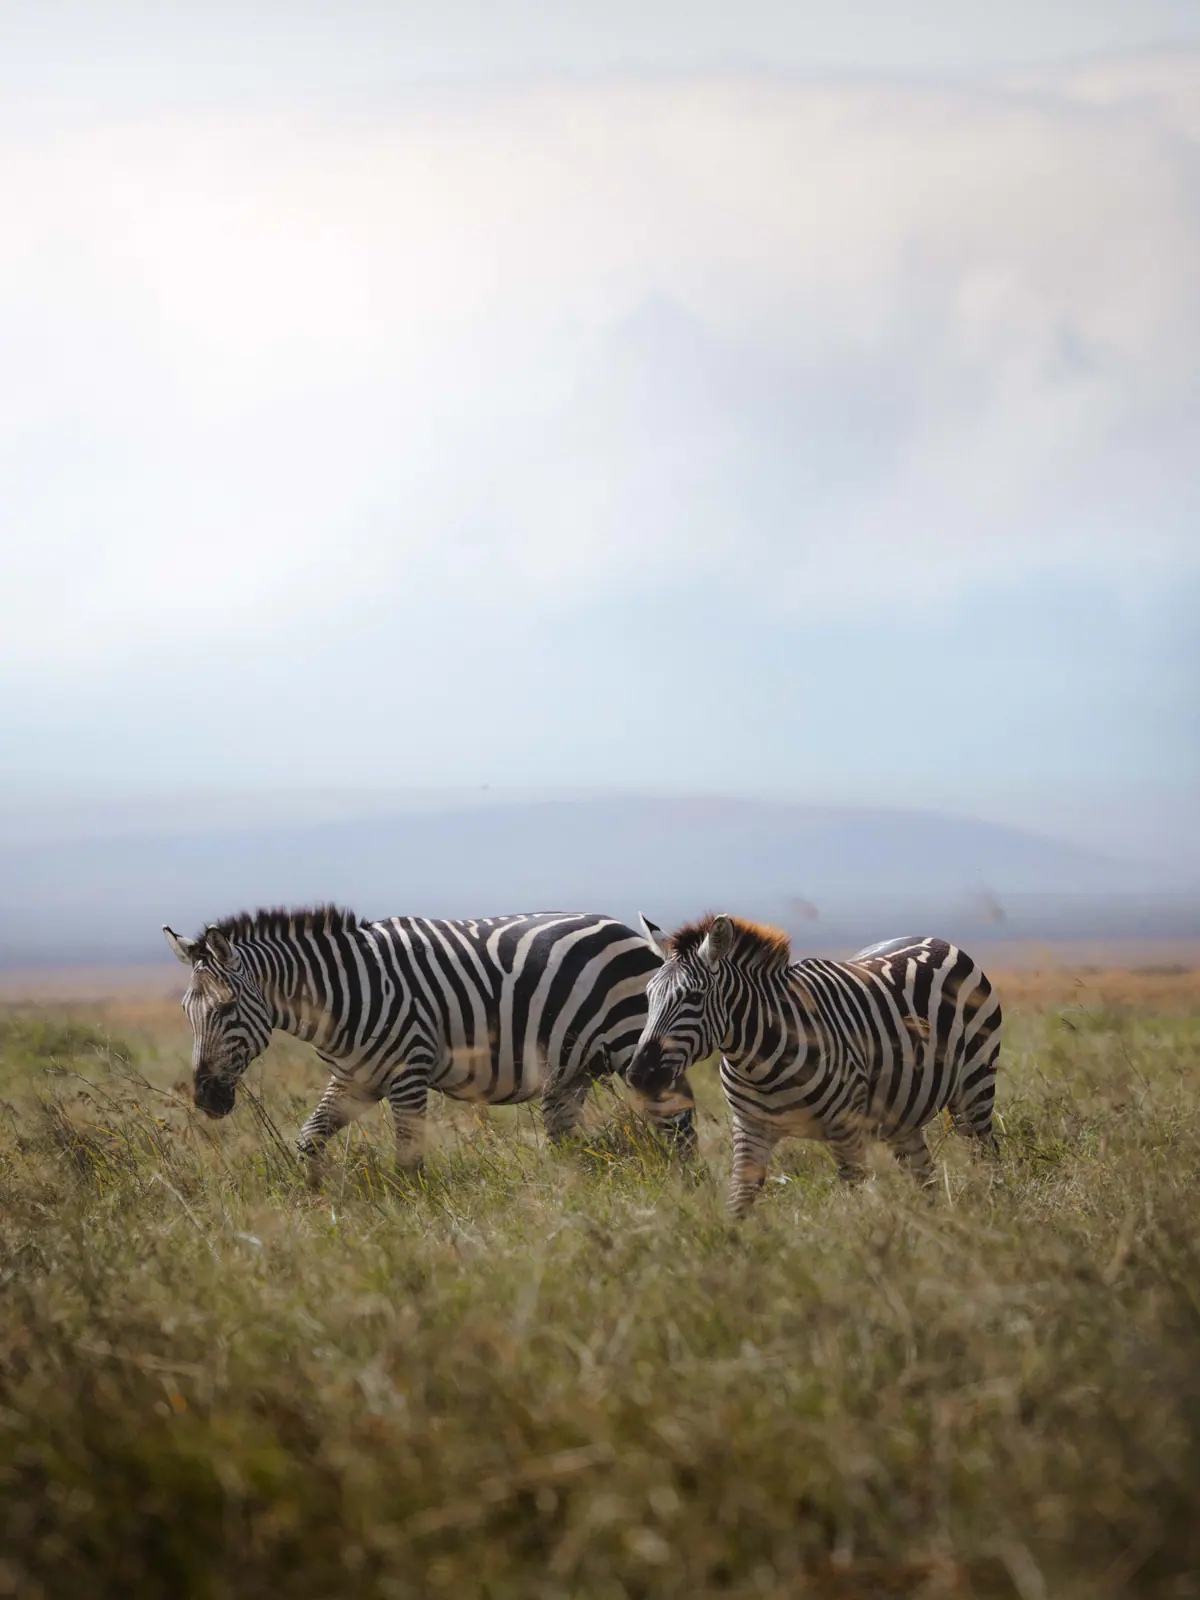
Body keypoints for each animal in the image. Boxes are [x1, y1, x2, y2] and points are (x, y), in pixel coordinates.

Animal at [162, 906, 697, 1179]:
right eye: (187, 1014)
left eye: (227, 1009)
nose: (206, 1099)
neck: (343, 992)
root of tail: (628, 930)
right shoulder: (354, 1079)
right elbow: (308, 1141)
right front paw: (314, 1200)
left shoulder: (409, 1073)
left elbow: (408, 1161)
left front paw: (410, 1223)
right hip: (572, 1067)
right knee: (568, 1135)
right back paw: (571, 1189)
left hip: (634, 1046)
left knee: (680, 1122)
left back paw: (686, 1189)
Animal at [627, 914, 1001, 1218]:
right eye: (648, 996)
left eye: (693, 997)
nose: (639, 1075)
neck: (759, 1063)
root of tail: (934, 940)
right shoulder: (750, 1129)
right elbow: (739, 1202)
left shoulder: (846, 1129)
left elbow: (854, 1198)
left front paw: (864, 1246)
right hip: (903, 1113)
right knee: (924, 1176)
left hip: (974, 1089)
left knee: (985, 1155)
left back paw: (988, 1215)